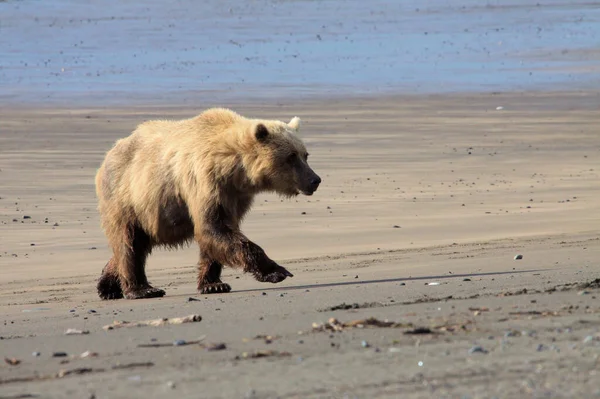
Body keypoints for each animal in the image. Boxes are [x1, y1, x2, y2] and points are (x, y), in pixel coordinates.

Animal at [94, 108, 322, 300]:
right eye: (291, 157)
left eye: (305, 155)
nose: (315, 180)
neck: (234, 170)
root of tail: (109, 153)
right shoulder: (205, 181)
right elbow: (213, 227)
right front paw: (276, 271)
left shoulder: (235, 196)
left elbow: (219, 234)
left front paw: (213, 284)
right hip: (126, 196)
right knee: (129, 241)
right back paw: (142, 289)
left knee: (134, 243)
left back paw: (108, 286)